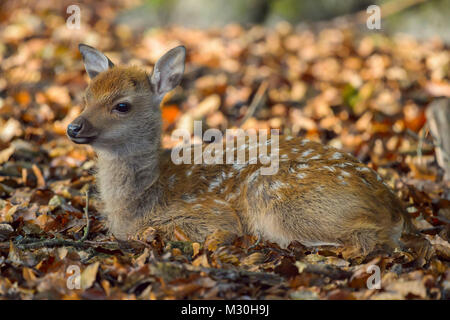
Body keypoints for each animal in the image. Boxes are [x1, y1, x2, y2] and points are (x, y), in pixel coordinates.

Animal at [67, 44, 414, 255]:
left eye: (122, 105)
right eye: (85, 97)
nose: (73, 127)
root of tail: (394, 205)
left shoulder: (211, 215)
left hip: (274, 193)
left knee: (369, 237)